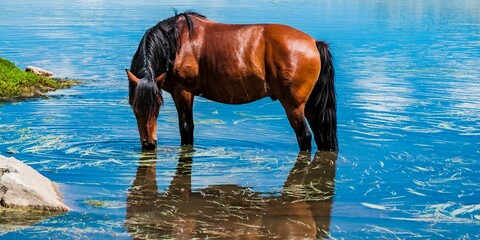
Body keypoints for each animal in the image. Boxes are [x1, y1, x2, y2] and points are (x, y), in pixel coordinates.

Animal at [127, 12, 338, 151]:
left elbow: (186, 129)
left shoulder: (183, 92)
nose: (149, 144)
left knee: (305, 136)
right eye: (135, 107)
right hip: (310, 106)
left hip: (294, 106)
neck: (176, 43)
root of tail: (314, 43)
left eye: (158, 106)